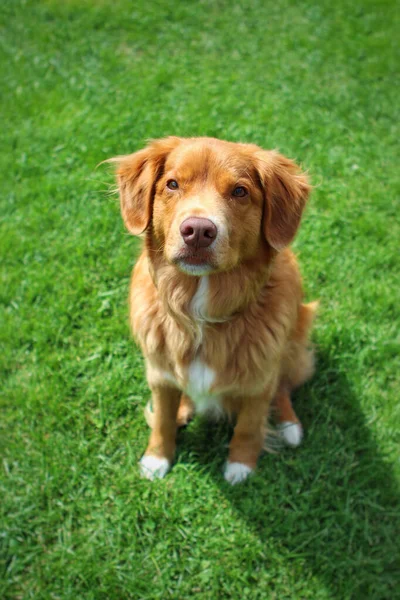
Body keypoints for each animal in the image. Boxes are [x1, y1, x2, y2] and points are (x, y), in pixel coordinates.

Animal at [111, 135, 316, 482]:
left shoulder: (260, 378)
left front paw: (241, 466)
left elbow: (249, 425)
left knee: (285, 385)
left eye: (239, 191)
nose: (197, 231)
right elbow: (162, 419)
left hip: (294, 340)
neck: (199, 313)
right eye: (172, 184)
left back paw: (289, 425)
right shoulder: (159, 374)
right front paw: (156, 458)